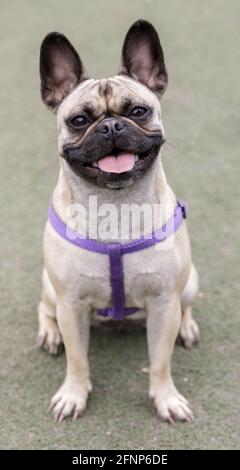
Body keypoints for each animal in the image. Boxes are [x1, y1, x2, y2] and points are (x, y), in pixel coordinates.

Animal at [37, 19, 199, 422]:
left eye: (138, 111)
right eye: (79, 120)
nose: (111, 126)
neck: (116, 206)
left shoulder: (164, 304)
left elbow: (160, 361)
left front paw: (166, 398)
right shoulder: (70, 304)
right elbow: (78, 360)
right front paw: (73, 394)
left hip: (189, 284)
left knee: (187, 304)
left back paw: (188, 327)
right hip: (49, 287)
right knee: (44, 310)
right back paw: (50, 334)